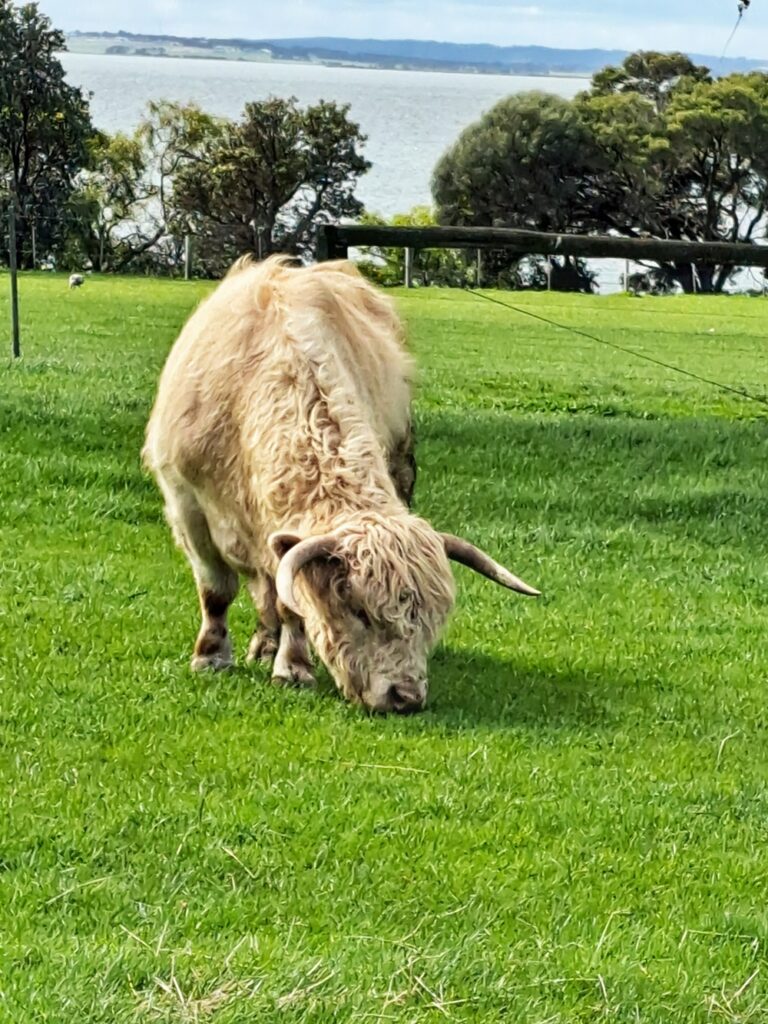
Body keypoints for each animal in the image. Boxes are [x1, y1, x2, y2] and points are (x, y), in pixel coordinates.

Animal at [143, 256, 539, 714]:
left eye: (430, 622)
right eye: (360, 612)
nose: (405, 696)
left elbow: (291, 603)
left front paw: (291, 667)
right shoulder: (186, 503)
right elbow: (216, 591)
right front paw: (210, 656)